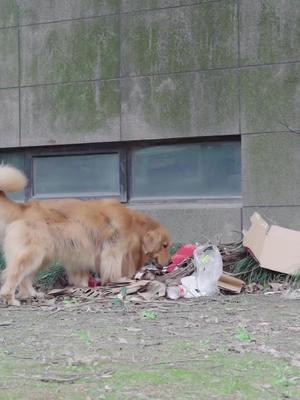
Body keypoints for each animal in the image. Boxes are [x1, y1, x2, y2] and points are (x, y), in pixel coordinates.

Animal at [0, 164, 170, 304]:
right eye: (164, 246)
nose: (169, 262)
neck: (134, 224)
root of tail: (24, 208)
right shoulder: (113, 251)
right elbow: (113, 269)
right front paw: (119, 280)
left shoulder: (78, 255)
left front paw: (82, 286)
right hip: (32, 254)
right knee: (13, 274)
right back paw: (9, 299)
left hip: (42, 257)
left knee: (24, 277)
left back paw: (31, 293)